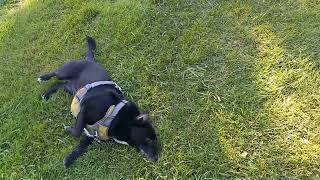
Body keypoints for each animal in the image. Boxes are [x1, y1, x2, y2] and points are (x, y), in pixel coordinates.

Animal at [38, 36, 159, 167]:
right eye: (149, 139)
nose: (156, 158)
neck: (114, 113)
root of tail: (89, 60)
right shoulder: (85, 110)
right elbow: (77, 131)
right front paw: (68, 130)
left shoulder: (91, 132)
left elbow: (81, 145)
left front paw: (70, 158)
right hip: (64, 72)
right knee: (55, 73)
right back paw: (42, 78)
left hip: (70, 88)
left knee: (58, 85)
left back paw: (46, 95)